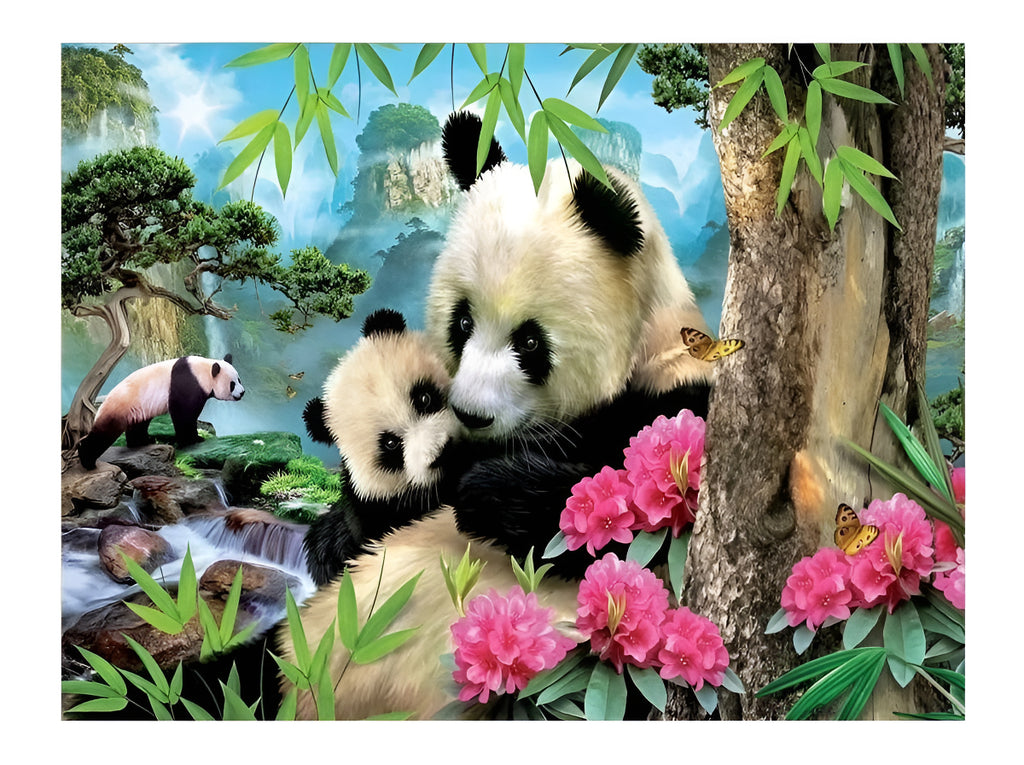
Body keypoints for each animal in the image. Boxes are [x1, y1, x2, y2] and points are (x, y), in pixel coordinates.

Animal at [77, 354, 244, 470]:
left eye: (239, 379)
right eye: (232, 384)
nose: (242, 393)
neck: (203, 370)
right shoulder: (187, 383)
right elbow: (183, 414)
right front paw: (194, 439)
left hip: (137, 408)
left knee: (138, 425)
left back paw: (144, 441)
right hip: (120, 407)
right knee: (104, 433)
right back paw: (87, 460)